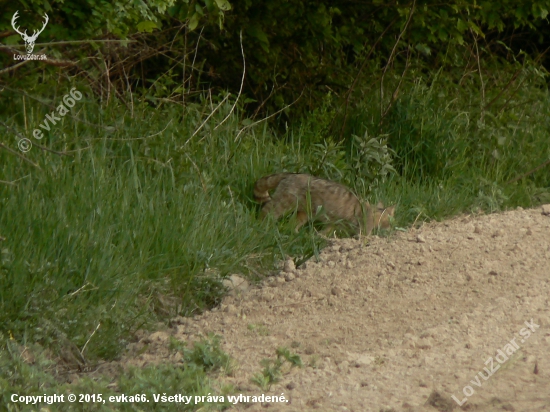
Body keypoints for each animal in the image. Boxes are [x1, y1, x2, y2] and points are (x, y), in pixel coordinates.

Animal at [256, 173, 396, 235]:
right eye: (390, 221)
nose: (392, 228)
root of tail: (290, 174)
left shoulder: (334, 223)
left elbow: (326, 231)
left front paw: (321, 237)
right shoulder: (364, 228)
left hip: (304, 212)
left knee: (292, 224)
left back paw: (296, 233)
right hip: (285, 202)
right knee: (267, 211)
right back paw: (263, 226)